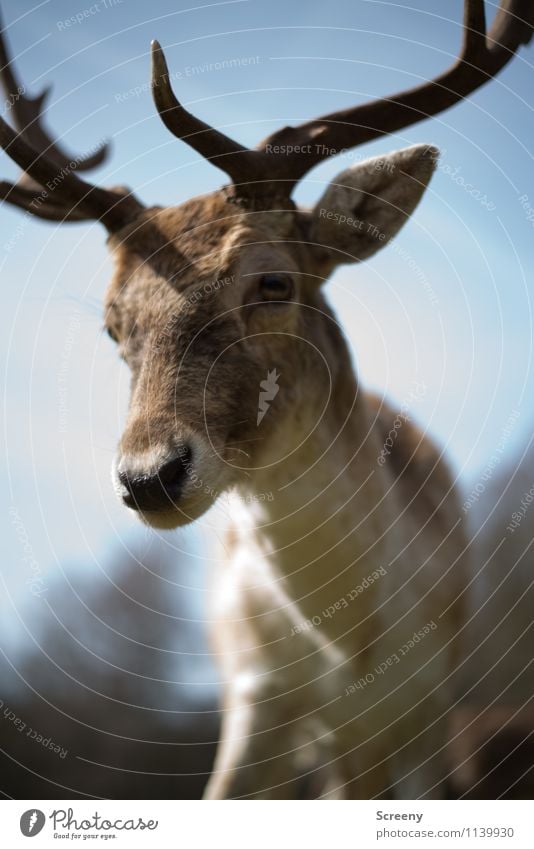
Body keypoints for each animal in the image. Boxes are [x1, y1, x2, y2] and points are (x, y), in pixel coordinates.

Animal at [0, 0, 532, 800]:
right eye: (113, 323)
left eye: (274, 281)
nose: (148, 476)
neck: (349, 649)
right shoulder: (253, 698)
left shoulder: (420, 715)